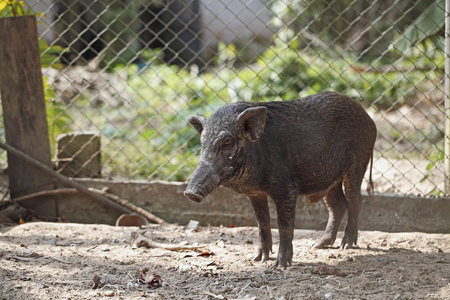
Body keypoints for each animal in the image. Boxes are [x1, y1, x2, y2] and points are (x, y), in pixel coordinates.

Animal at [183, 91, 376, 268]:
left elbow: (284, 226)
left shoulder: (286, 189)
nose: (190, 192)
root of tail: (370, 120)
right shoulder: (255, 194)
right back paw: (317, 246)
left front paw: (280, 266)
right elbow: (262, 223)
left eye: (228, 141)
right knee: (338, 205)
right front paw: (258, 259)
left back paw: (346, 245)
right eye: (202, 142)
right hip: (328, 178)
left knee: (355, 200)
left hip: (357, 164)